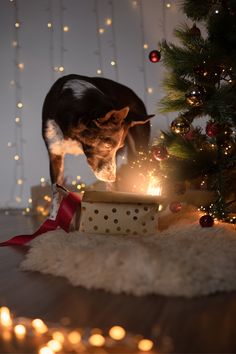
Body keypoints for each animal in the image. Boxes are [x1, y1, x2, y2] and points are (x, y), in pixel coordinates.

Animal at [42, 74, 155, 218]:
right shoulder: (55, 153)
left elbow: (112, 188)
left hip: (139, 150)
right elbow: (56, 190)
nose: (112, 177)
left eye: (118, 148)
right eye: (107, 145)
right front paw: (53, 218)